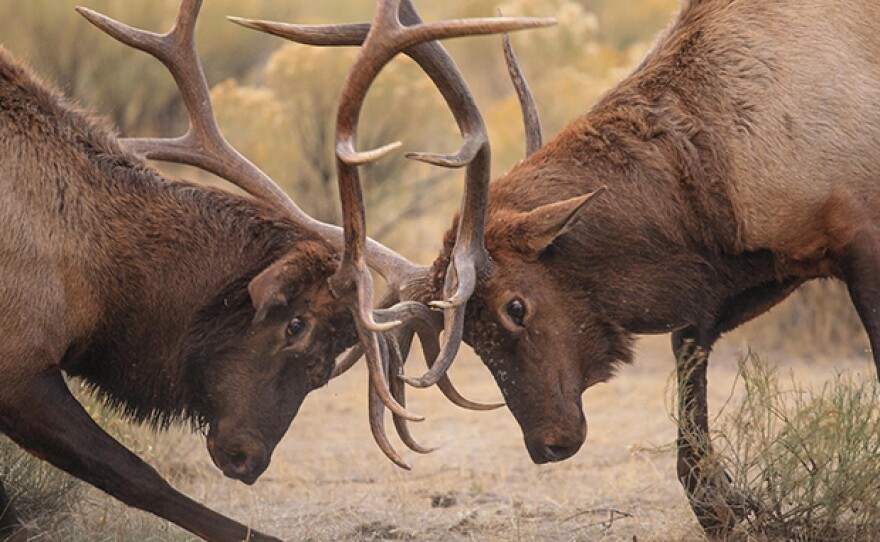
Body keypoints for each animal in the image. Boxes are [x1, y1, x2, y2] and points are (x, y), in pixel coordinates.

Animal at [0, 1, 552, 540]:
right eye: (295, 325)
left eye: (331, 361)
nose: (249, 459)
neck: (97, 273)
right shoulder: (19, 360)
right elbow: (133, 473)